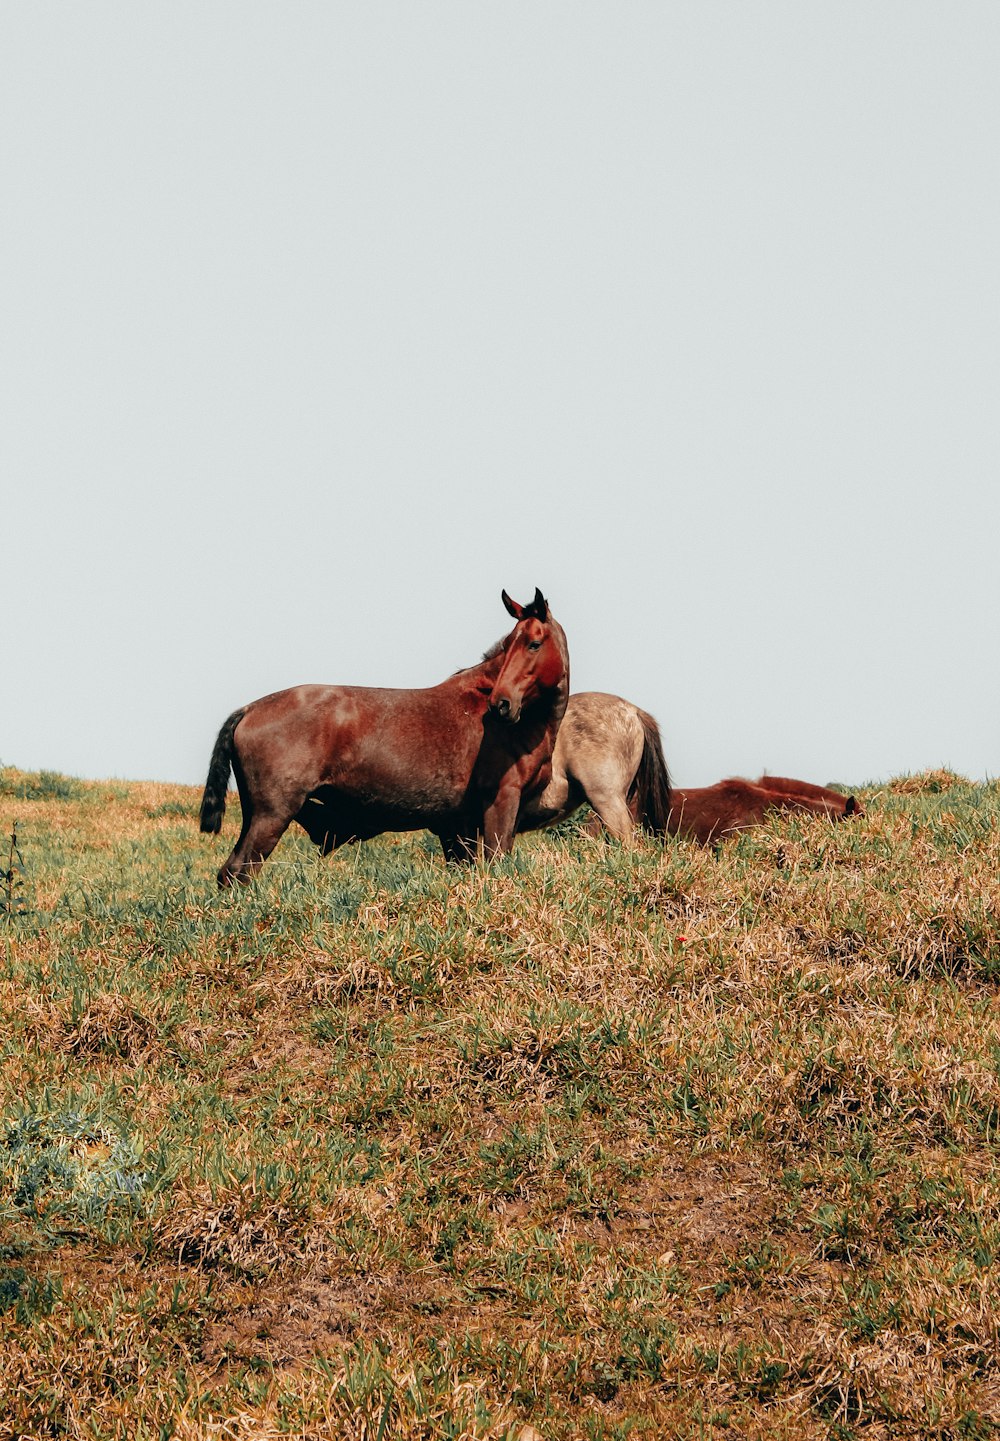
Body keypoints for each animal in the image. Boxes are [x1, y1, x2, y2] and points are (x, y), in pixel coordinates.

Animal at [201, 582, 570, 876]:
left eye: (533, 644)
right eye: (509, 645)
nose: (500, 704)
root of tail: (249, 709)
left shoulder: (459, 824)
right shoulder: (501, 803)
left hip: (256, 816)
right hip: (272, 815)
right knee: (237, 871)